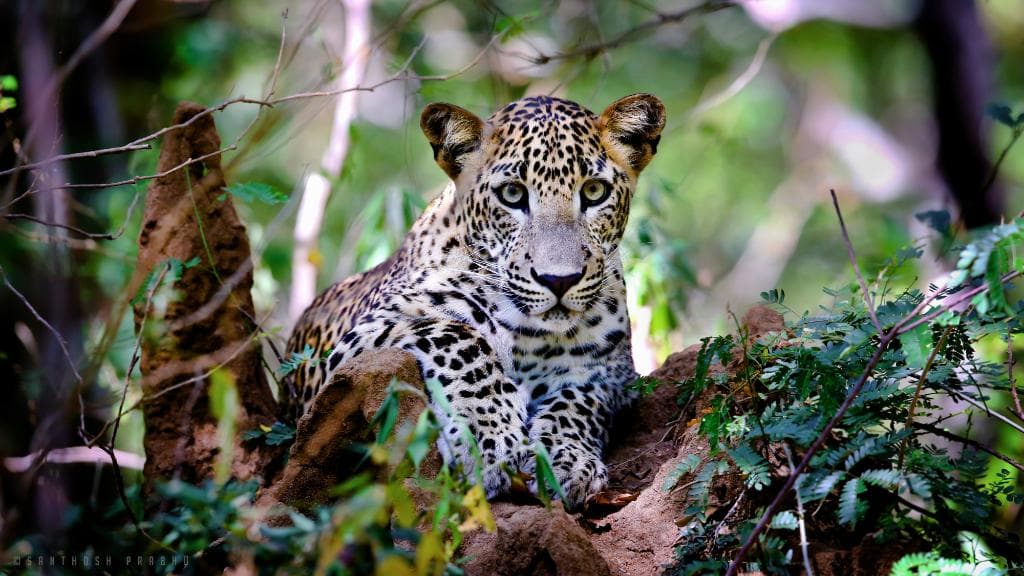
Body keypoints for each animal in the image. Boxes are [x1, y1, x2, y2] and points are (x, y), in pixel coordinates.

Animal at [283, 93, 666, 508]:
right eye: (512, 194)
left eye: (595, 192)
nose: (559, 280)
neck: (529, 335)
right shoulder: (355, 342)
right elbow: (459, 338)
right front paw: (490, 443)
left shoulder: (613, 374)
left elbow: (579, 402)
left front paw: (566, 461)